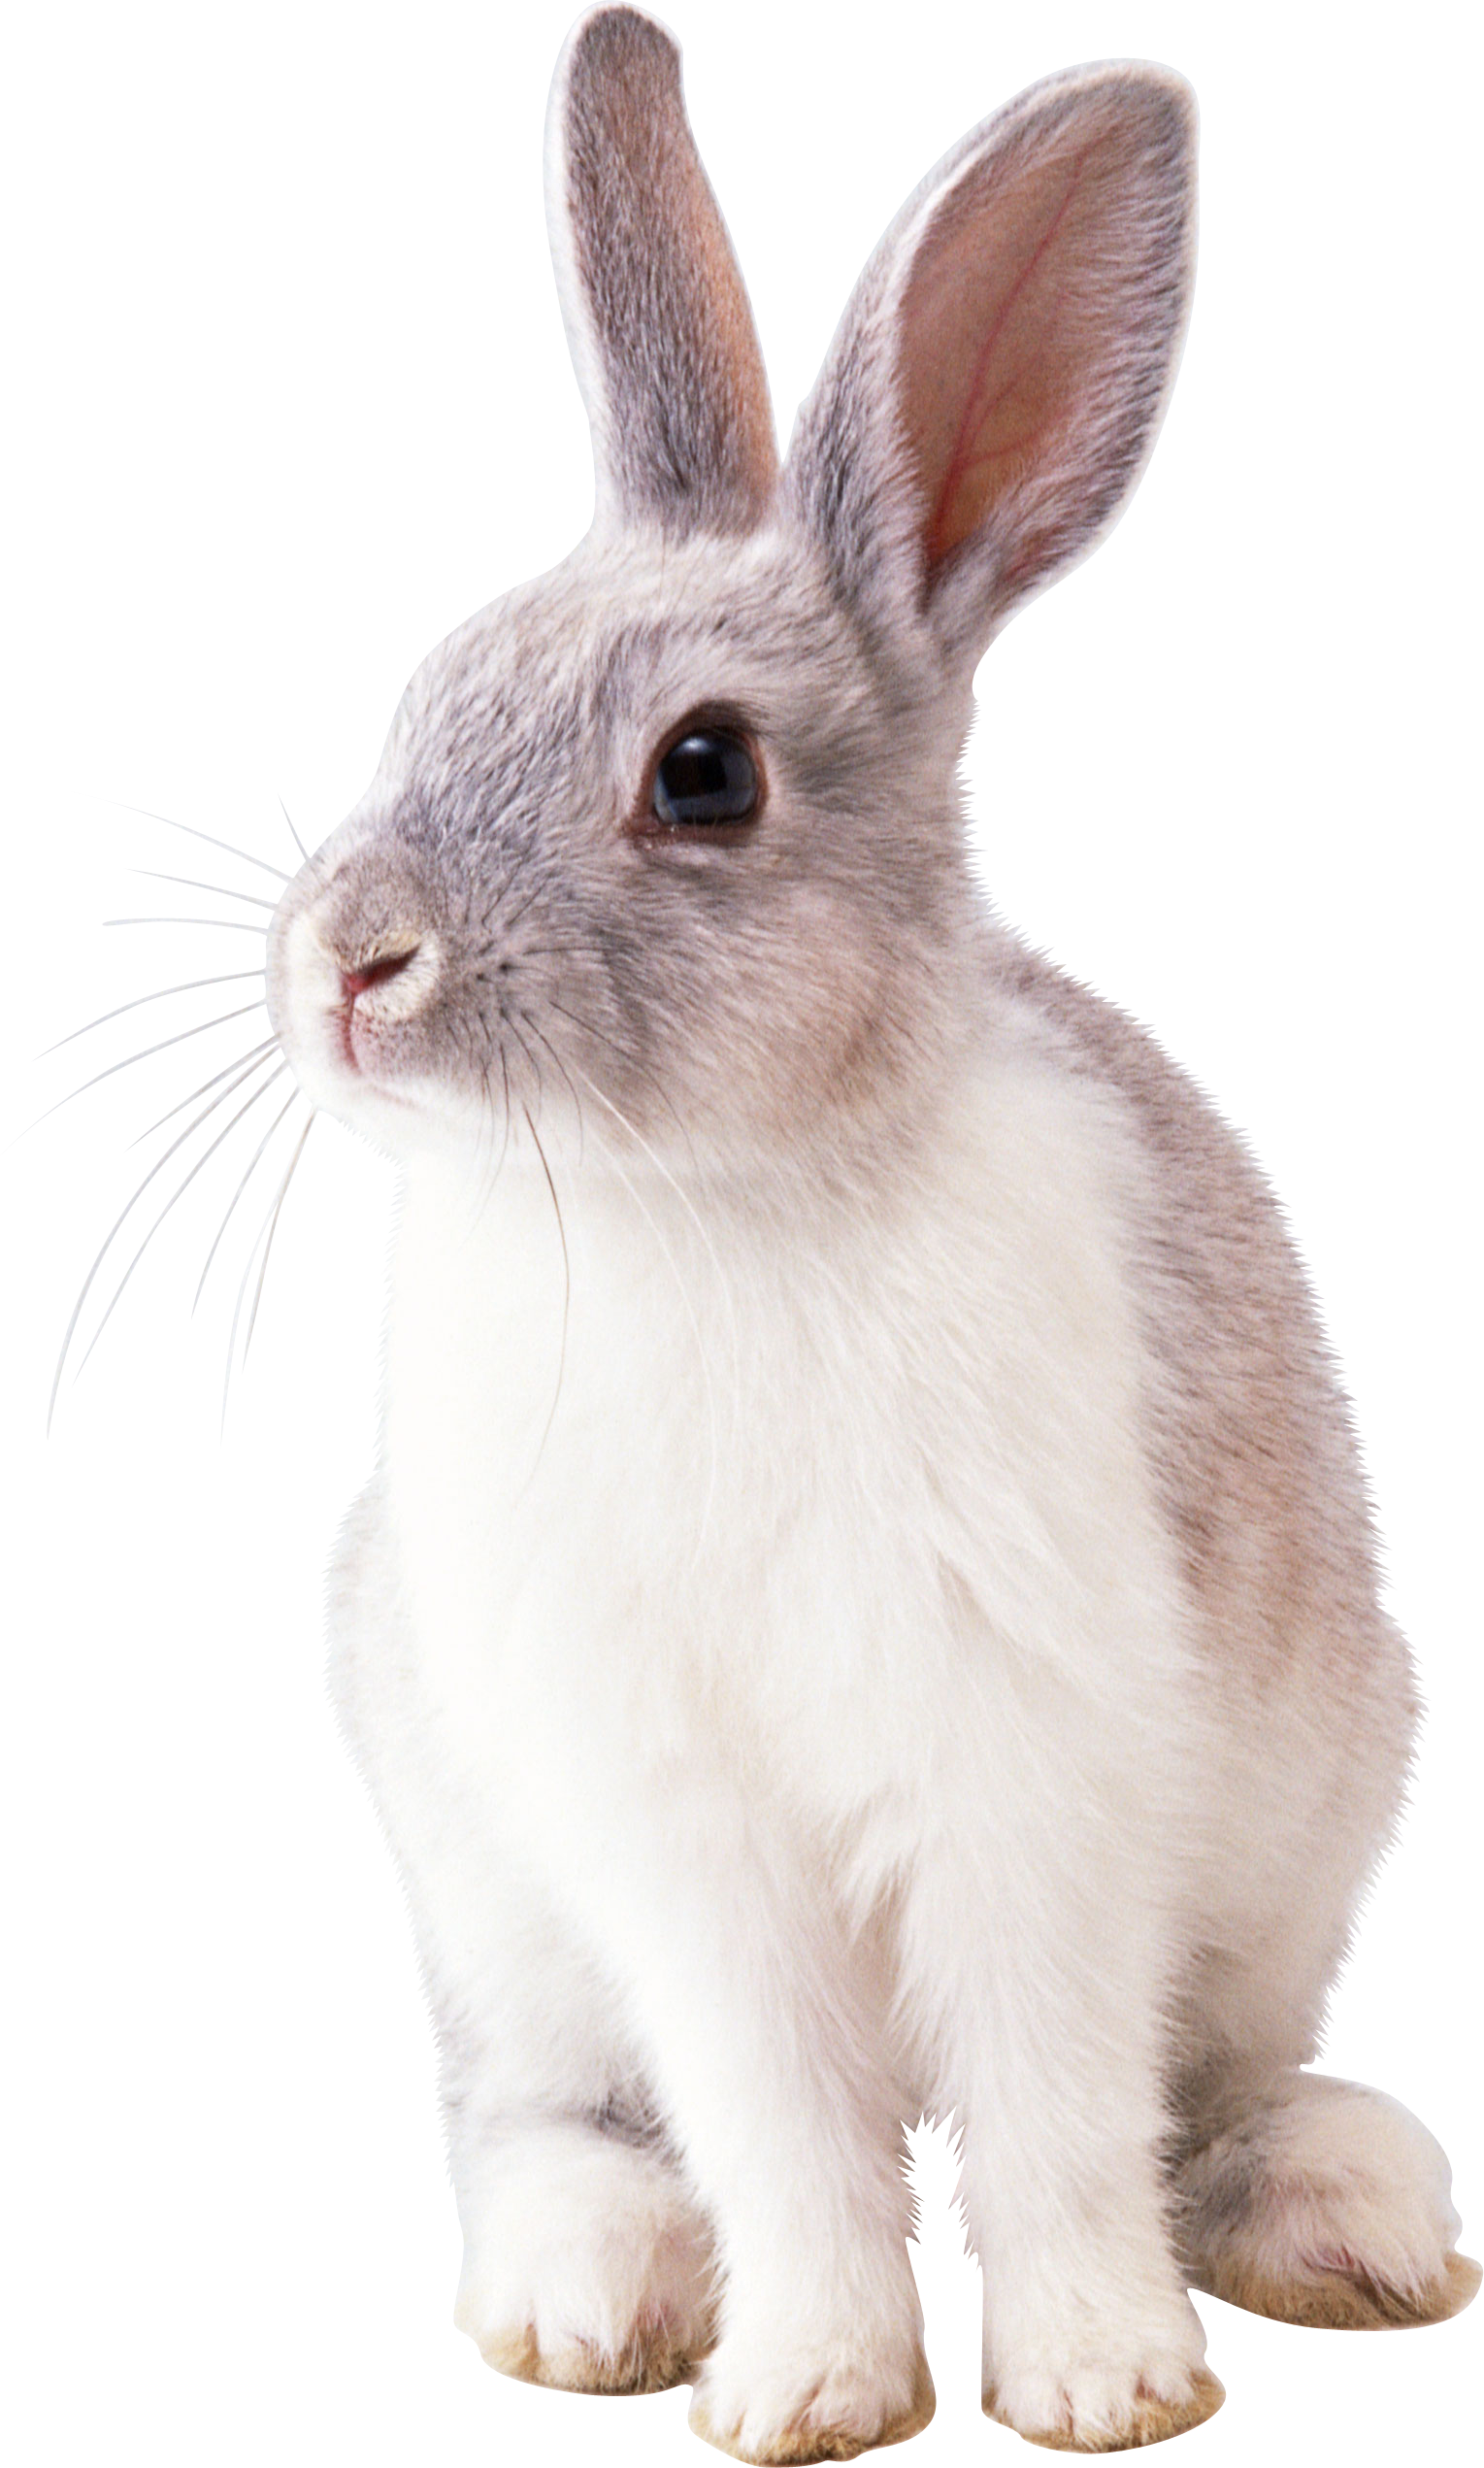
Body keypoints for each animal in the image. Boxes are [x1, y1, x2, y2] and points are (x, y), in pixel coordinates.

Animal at [276, 7, 1475, 2455]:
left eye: (704, 771)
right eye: (435, 691)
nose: (345, 963)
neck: (710, 1199)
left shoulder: (1026, 1781)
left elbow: (1047, 2111)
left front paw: (1100, 2380)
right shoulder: (681, 1840)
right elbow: (780, 2127)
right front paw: (808, 2387)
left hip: (1284, 1872)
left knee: (1220, 2087)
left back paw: (1346, 2232)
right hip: (512, 1917)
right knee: (561, 2116)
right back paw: (589, 2306)